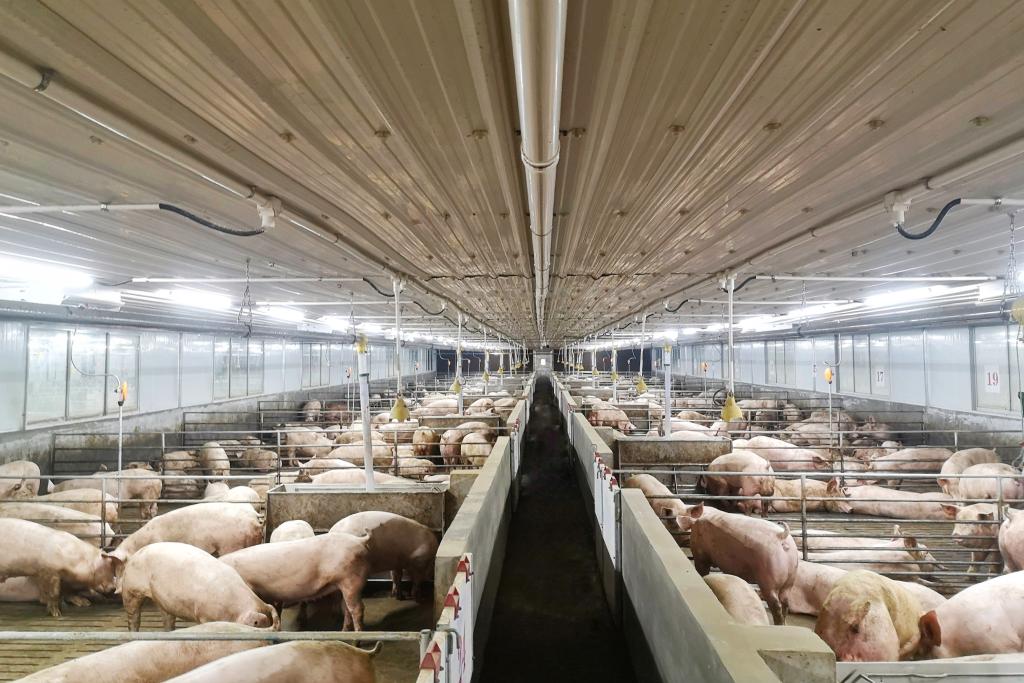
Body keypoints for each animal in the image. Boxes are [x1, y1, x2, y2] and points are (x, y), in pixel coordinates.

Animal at [120, 542, 278, 632]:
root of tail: (136, 554)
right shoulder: (205, 614)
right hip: (130, 589)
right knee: (133, 617)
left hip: (162, 600)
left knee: (167, 618)